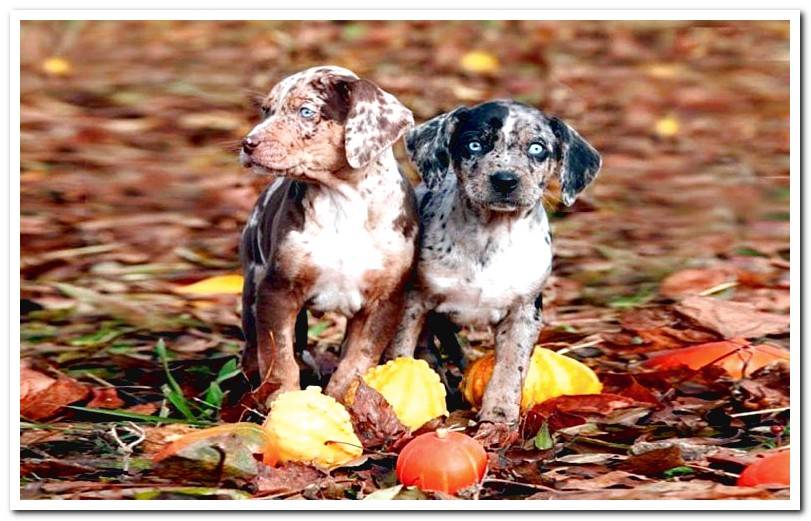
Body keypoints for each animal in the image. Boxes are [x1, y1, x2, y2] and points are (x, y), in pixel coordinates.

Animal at [239, 65, 418, 398]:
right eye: (266, 110)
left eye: (306, 112)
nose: (248, 143)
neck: (342, 203)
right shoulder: (277, 289)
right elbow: (279, 357)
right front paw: (283, 400)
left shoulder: (385, 301)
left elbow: (357, 361)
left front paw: (344, 401)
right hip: (253, 283)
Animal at [386, 100, 604, 426]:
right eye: (474, 144)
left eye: (537, 148)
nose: (505, 180)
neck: (491, 235)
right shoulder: (412, 301)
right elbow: (400, 351)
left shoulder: (524, 312)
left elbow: (511, 365)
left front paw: (499, 412)